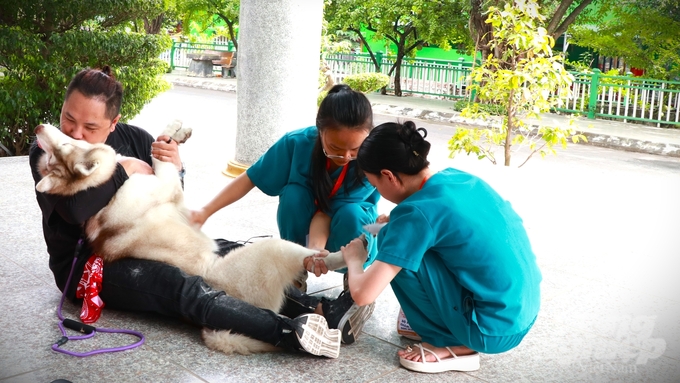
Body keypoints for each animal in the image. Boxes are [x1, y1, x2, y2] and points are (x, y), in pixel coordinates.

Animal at [33, 124, 348, 358]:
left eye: (63, 147)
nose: (37, 127)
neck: (107, 184)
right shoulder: (166, 185)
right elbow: (159, 159)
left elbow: (158, 147)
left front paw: (176, 134)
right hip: (269, 251)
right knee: (306, 261)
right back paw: (345, 256)